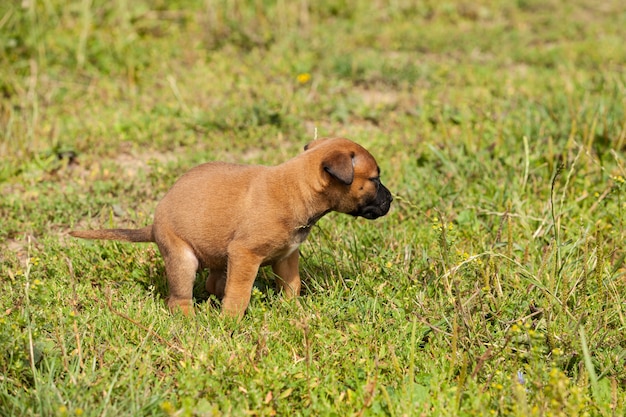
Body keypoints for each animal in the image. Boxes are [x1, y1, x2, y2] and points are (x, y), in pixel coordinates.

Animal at [69, 138, 390, 316]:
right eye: (374, 180)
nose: (391, 200)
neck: (296, 188)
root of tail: (155, 223)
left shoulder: (287, 257)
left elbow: (292, 286)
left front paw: (295, 312)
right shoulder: (245, 254)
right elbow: (239, 294)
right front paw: (230, 324)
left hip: (217, 257)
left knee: (213, 284)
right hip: (182, 259)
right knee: (178, 300)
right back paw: (191, 321)